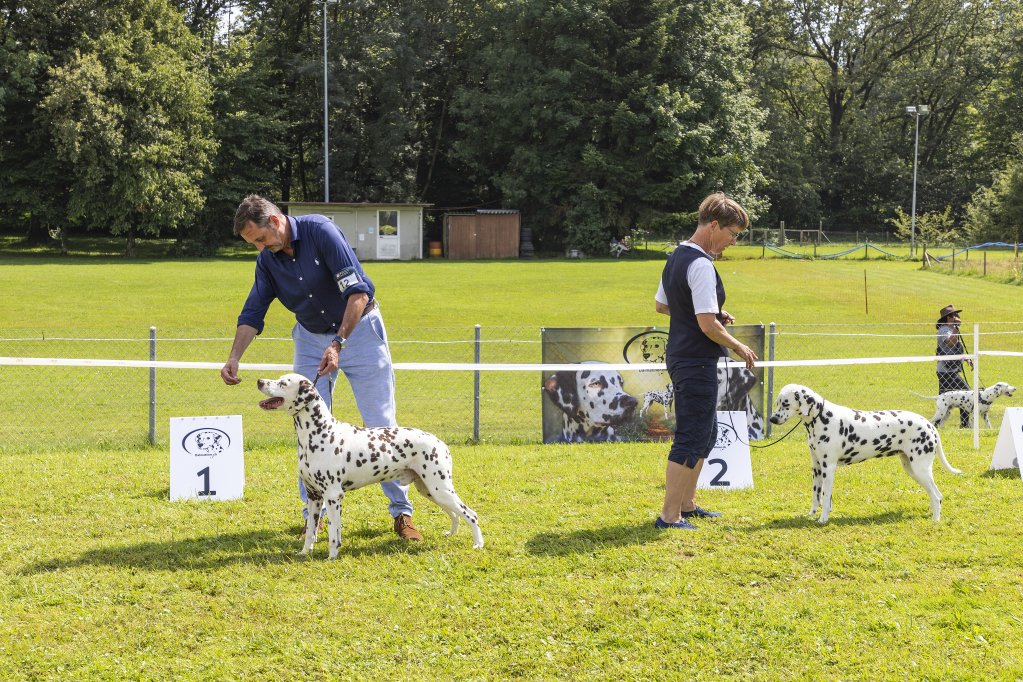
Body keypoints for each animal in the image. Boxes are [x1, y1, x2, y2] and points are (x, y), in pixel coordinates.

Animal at [257, 373, 483, 557]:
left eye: (283, 383)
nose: (259, 381)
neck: (320, 432)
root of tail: (440, 442)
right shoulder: (314, 496)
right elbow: (311, 532)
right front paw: (305, 552)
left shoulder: (333, 496)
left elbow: (333, 533)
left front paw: (332, 556)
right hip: (429, 490)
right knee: (455, 514)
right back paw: (451, 534)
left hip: (440, 489)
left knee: (470, 514)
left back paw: (478, 544)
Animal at [769, 384, 961, 523]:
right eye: (777, 403)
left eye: (785, 403)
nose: (772, 419)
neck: (823, 418)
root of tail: (929, 425)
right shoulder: (817, 467)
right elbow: (817, 495)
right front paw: (811, 514)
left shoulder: (828, 467)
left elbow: (825, 495)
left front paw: (823, 519)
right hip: (912, 469)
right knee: (937, 495)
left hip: (920, 469)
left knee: (935, 495)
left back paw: (935, 520)